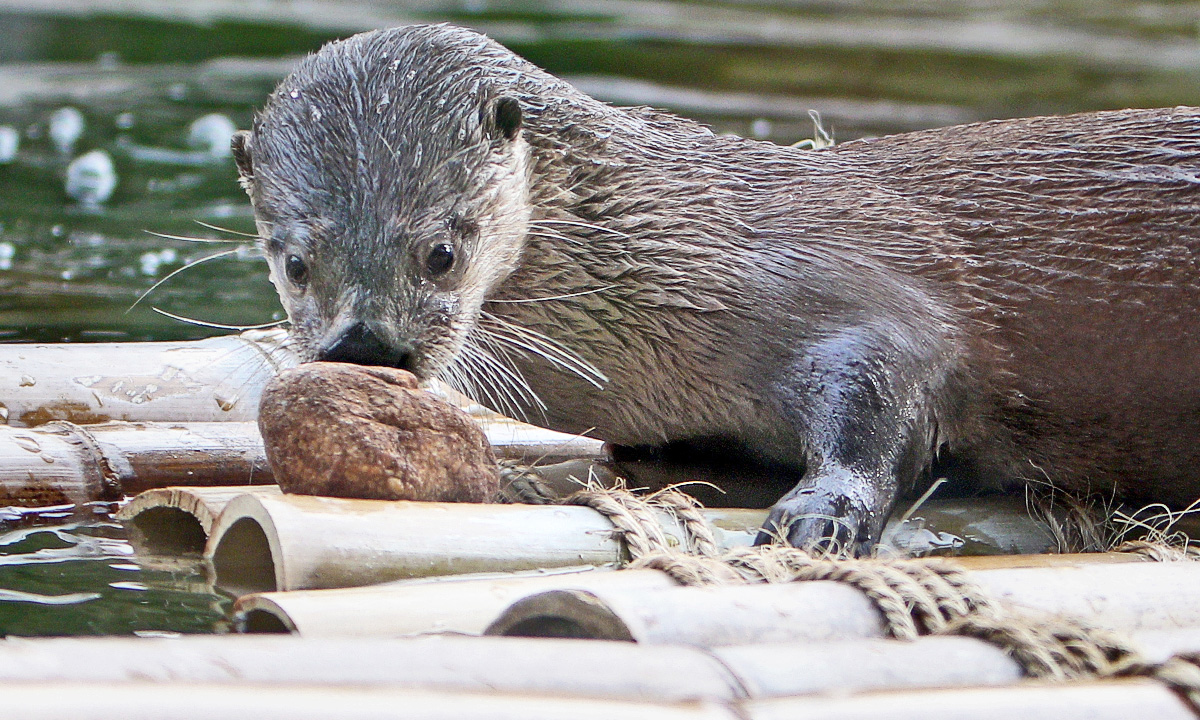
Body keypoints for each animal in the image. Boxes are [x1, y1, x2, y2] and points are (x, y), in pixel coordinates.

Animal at [231, 21, 1200, 552]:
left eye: (441, 251)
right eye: (293, 261)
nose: (364, 343)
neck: (686, 248)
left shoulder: (843, 287)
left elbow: (890, 381)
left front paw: (821, 514)